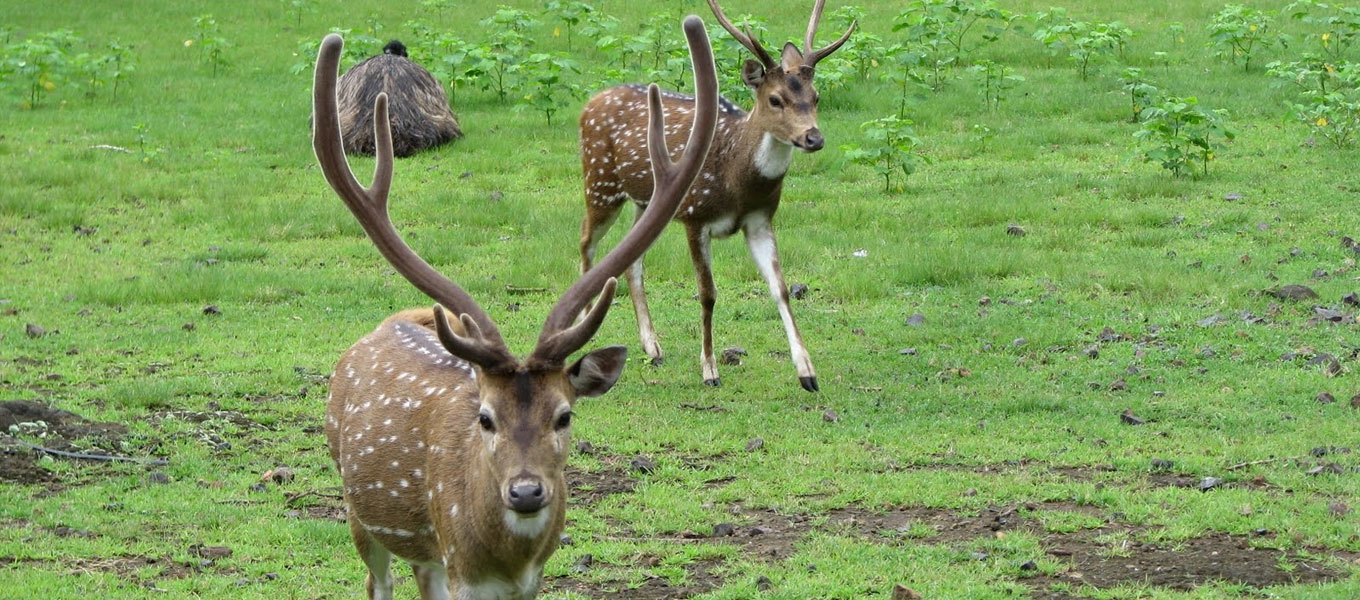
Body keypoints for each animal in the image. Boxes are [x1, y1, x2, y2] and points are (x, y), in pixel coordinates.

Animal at [312, 16, 718, 595]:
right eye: (485, 419)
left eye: (565, 415)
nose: (526, 492)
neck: (506, 562)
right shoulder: (461, 571)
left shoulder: (530, 579)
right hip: (356, 508)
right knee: (377, 579)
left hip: (423, 552)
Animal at [579, 0, 854, 391]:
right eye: (775, 99)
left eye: (815, 96)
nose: (813, 138)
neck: (737, 181)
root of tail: (591, 101)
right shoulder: (696, 215)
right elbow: (708, 293)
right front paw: (710, 370)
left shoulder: (760, 221)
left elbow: (781, 289)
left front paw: (807, 372)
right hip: (600, 182)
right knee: (586, 242)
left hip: (647, 201)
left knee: (632, 258)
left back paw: (653, 347)